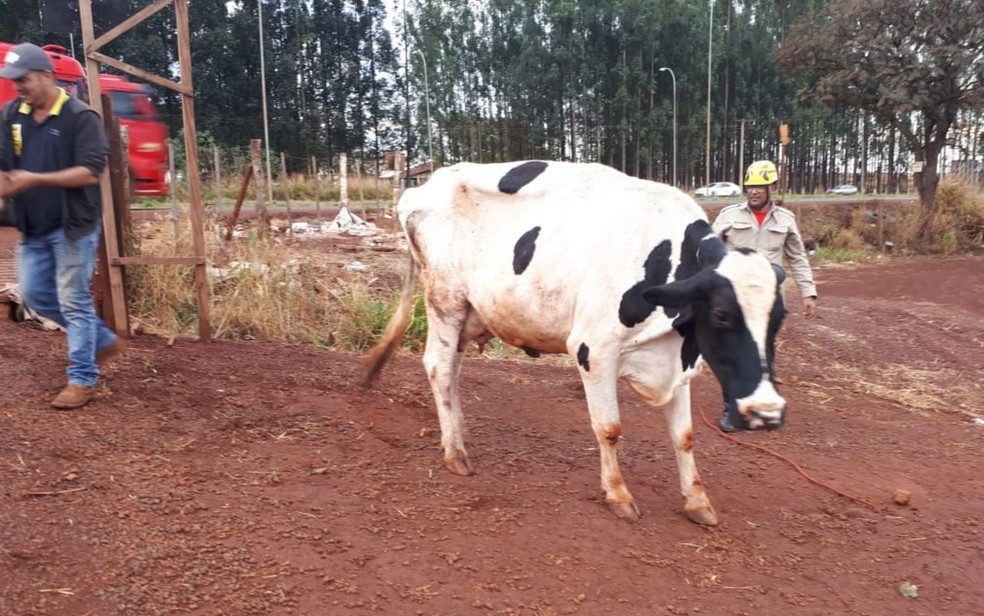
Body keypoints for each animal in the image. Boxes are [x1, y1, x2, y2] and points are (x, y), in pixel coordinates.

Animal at [362, 160, 784, 524]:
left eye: (779, 318)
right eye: (721, 315)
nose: (768, 411)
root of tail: (423, 186)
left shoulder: (678, 362)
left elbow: (684, 436)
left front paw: (697, 501)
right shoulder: (593, 350)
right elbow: (609, 428)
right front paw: (618, 494)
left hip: (470, 312)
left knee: (453, 373)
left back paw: (458, 434)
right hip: (445, 300)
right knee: (439, 367)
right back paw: (455, 451)